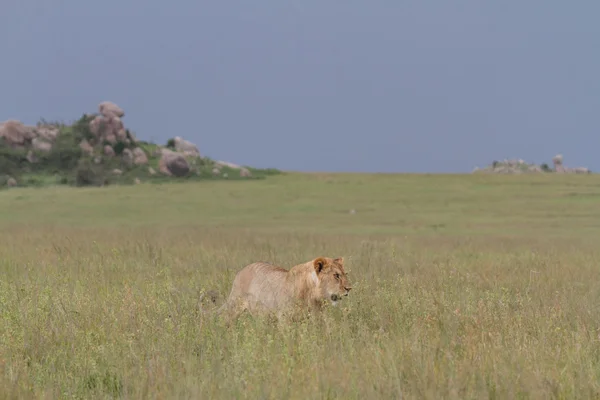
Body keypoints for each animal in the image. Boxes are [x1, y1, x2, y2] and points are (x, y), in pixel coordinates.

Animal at [202, 258, 352, 320]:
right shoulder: (284, 318)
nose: (349, 288)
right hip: (234, 306)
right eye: (336, 275)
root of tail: (240, 272)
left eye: (345, 274)